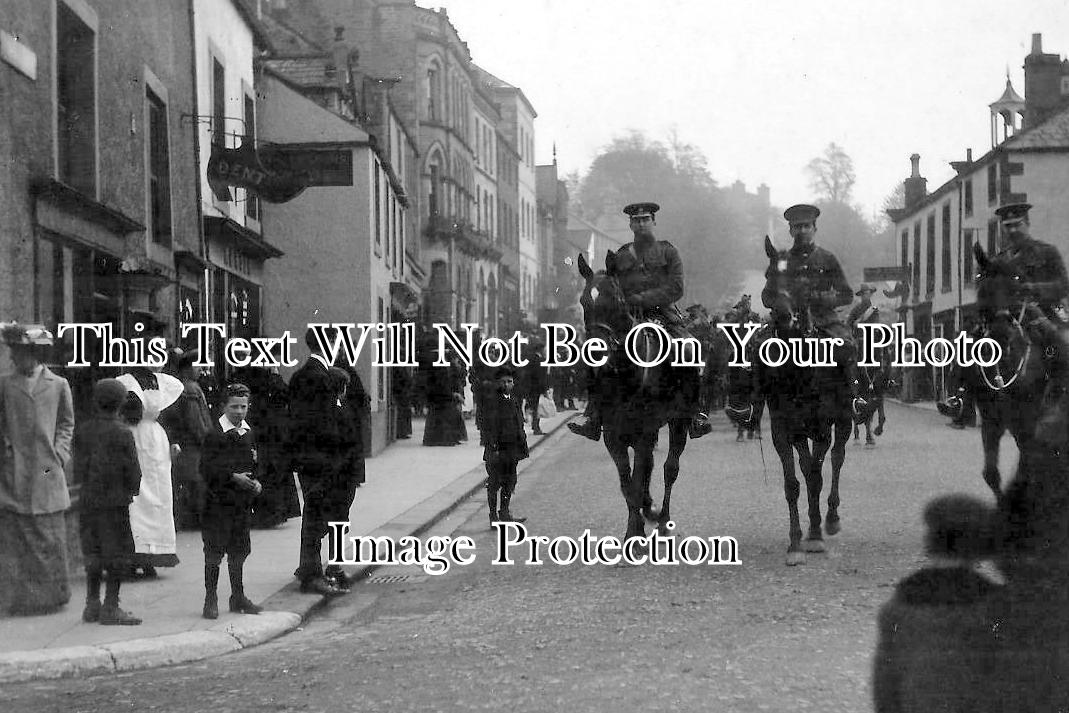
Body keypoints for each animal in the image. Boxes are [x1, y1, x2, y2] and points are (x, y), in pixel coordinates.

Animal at [577, 253, 701, 538]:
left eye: (616, 299)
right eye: (584, 302)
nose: (594, 352)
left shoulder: (645, 431)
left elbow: (637, 479)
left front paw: (635, 534)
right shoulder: (613, 435)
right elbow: (627, 482)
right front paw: (635, 526)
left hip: (678, 422)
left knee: (669, 468)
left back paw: (663, 518)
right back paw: (650, 508)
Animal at [761, 237, 850, 564]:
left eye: (800, 276)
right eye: (769, 275)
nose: (785, 317)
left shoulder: (823, 428)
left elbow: (815, 476)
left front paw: (814, 535)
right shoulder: (783, 430)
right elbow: (793, 482)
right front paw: (795, 542)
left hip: (845, 420)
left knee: (837, 459)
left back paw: (831, 519)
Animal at [970, 245, 1043, 502]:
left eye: (1017, 283)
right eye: (983, 285)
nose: (1001, 333)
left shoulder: (1028, 423)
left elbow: (1026, 473)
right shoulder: (991, 421)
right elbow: (991, 474)